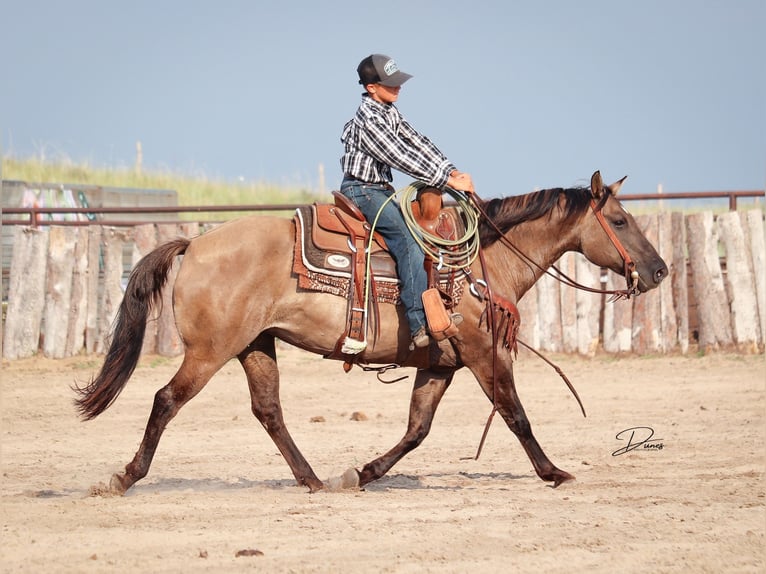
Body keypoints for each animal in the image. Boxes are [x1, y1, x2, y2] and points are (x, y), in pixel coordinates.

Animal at [75, 170, 668, 496]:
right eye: (619, 222)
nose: (659, 270)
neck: (480, 262)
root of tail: (194, 243)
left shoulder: (440, 364)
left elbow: (416, 430)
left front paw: (363, 472)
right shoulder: (483, 353)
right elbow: (515, 414)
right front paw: (554, 472)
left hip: (254, 346)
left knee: (269, 411)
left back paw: (314, 480)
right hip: (209, 351)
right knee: (165, 400)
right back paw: (124, 477)